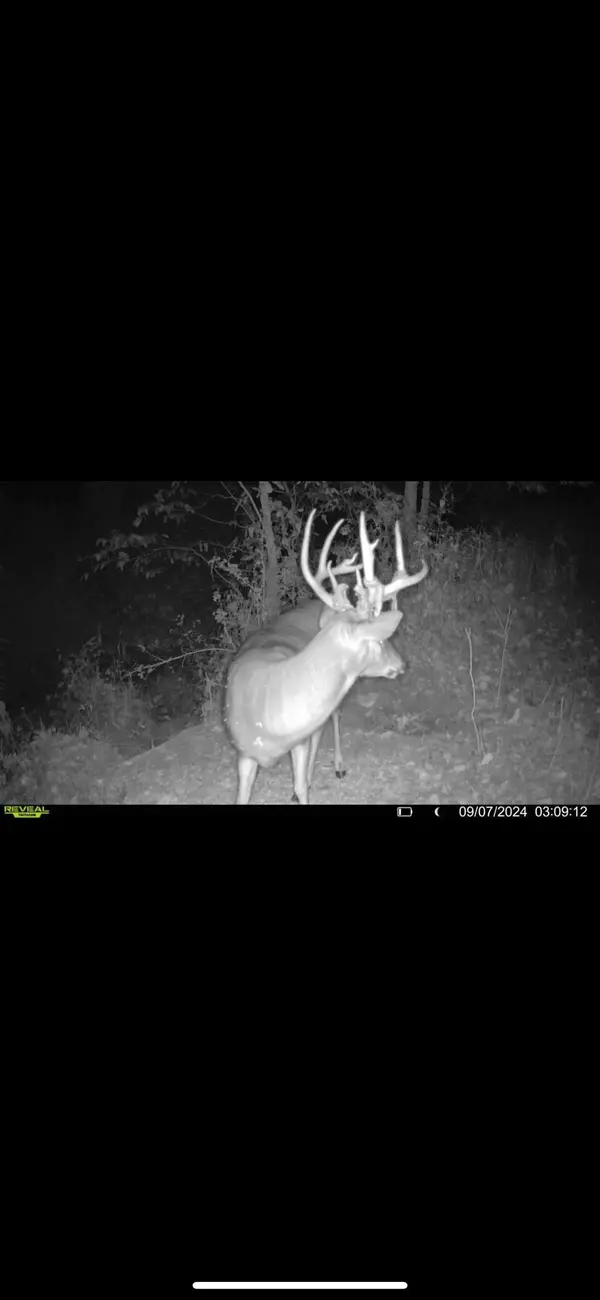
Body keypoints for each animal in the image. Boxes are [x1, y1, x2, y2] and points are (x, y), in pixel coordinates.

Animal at [224, 508, 428, 804]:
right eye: (381, 640)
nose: (401, 664)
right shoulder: (243, 752)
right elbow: (243, 795)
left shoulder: (299, 742)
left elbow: (300, 784)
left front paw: (303, 787)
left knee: (333, 719)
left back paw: (338, 767)